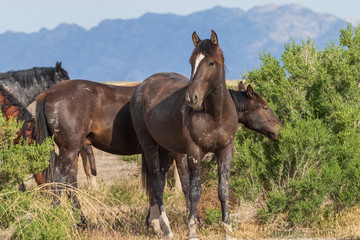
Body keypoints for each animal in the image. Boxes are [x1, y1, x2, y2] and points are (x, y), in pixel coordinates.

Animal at [129, 31, 282, 239]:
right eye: (192, 61)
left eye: (211, 63)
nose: (279, 128)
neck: (216, 115)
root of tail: (141, 87)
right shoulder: (193, 152)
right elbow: (194, 190)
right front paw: (192, 228)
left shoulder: (225, 150)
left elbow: (223, 189)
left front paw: (227, 229)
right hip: (149, 144)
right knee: (157, 183)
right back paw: (166, 228)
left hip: (165, 150)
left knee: (158, 181)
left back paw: (155, 224)